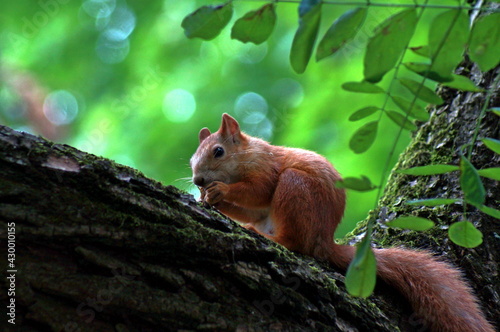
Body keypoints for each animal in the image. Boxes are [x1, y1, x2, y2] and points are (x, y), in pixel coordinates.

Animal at [189, 114, 494, 332]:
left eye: (218, 151)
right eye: (192, 158)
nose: (197, 180)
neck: (247, 154)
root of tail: (323, 241)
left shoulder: (267, 169)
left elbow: (258, 191)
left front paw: (221, 191)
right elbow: (249, 210)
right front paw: (208, 198)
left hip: (294, 187)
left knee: (295, 242)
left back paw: (272, 238)